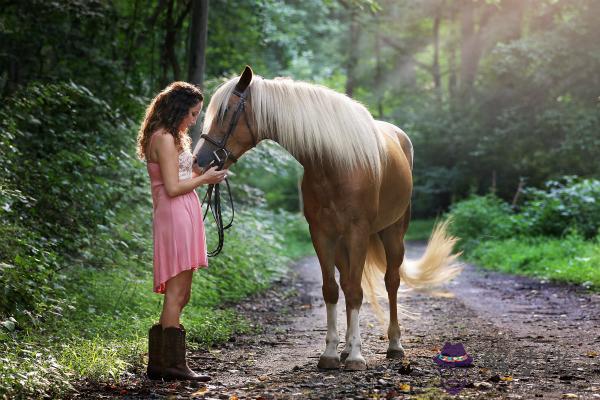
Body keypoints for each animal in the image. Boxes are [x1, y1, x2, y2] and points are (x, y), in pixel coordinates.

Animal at [195, 66, 462, 372]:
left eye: (226, 111)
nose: (199, 161)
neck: (334, 163)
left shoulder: (358, 232)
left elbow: (356, 291)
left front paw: (357, 357)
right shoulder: (322, 234)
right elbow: (332, 290)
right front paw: (332, 353)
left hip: (393, 233)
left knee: (391, 282)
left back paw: (394, 345)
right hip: (342, 244)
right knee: (346, 282)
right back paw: (346, 348)